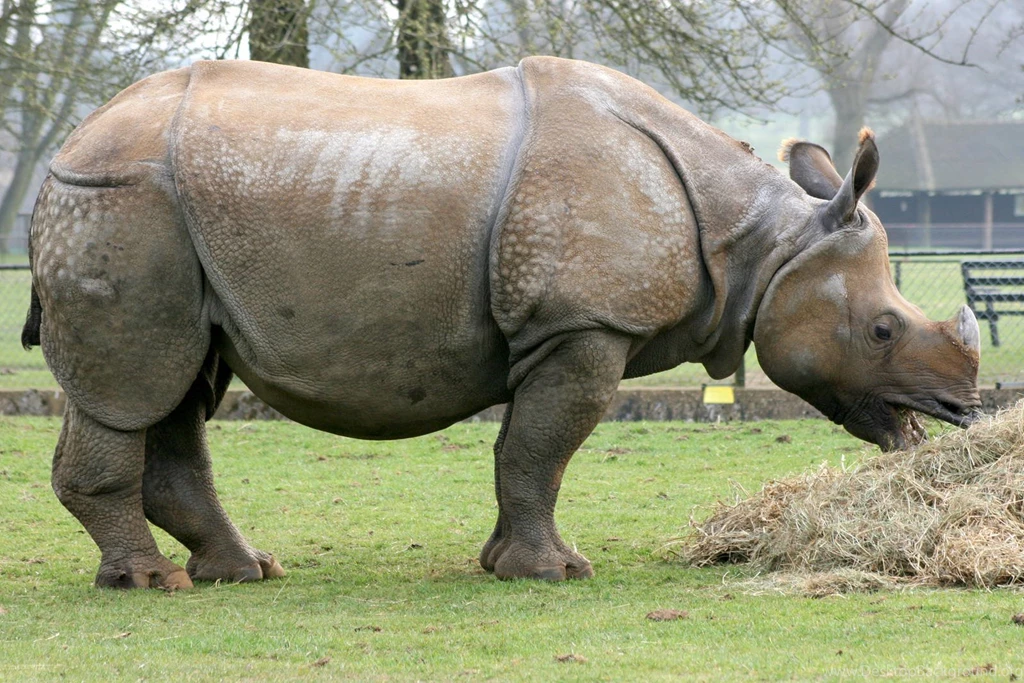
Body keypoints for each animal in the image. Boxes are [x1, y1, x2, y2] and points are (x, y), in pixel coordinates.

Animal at [21, 57, 981, 589]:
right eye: (883, 330)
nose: (961, 413)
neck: (763, 243)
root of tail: (64, 149)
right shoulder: (583, 323)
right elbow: (542, 447)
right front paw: (555, 574)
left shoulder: (555, 328)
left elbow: (525, 450)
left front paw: (502, 563)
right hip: (122, 202)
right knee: (131, 388)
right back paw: (151, 584)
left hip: (165, 219)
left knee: (181, 385)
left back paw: (243, 572)